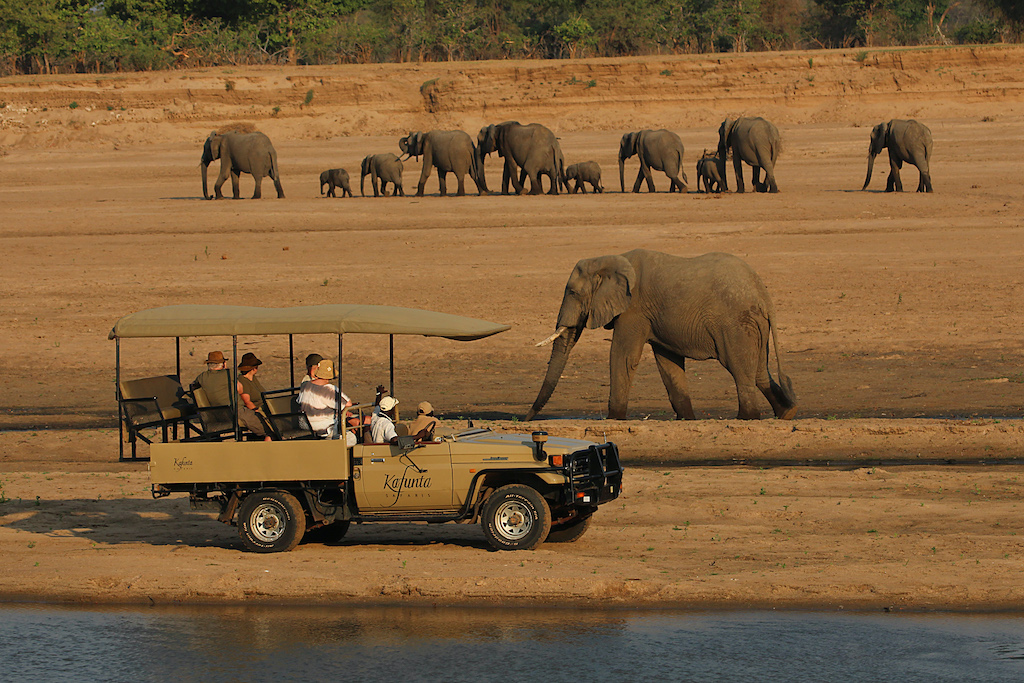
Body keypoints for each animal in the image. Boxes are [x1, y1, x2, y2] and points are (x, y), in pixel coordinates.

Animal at [528, 250, 798, 421]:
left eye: (572, 292)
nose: (527, 419)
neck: (608, 259)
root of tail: (763, 294)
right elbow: (668, 364)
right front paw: (687, 419)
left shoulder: (633, 310)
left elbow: (623, 357)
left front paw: (614, 419)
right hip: (754, 325)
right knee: (759, 371)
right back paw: (786, 413)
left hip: (735, 324)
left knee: (740, 369)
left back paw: (747, 418)